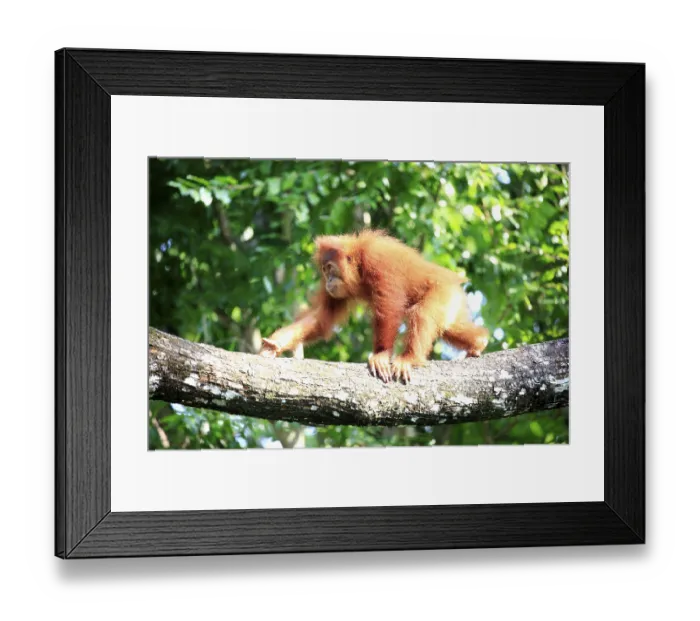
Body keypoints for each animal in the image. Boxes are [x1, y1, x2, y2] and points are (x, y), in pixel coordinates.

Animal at [259, 229, 489, 383]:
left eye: (330, 268)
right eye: (324, 270)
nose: (328, 281)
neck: (360, 262)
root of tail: (455, 282)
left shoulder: (378, 260)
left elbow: (389, 307)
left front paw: (381, 355)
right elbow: (322, 319)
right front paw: (276, 343)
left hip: (442, 291)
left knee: (422, 313)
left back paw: (410, 358)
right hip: (451, 301)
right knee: (448, 327)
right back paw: (479, 341)